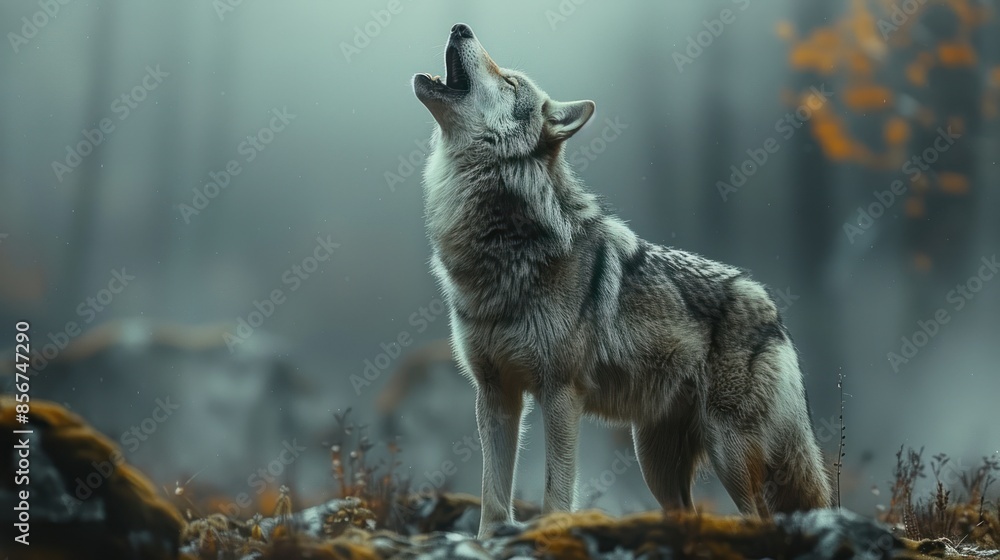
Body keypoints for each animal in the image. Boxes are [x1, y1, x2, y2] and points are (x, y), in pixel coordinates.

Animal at [413, 23, 831, 538]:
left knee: (760, 516)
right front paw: (490, 539)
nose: (460, 26)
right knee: (689, 510)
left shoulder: (560, 394)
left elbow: (556, 492)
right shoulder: (494, 395)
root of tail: (773, 310)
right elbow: (493, 494)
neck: (502, 242)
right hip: (655, 462)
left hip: (727, 452)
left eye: (509, 82)